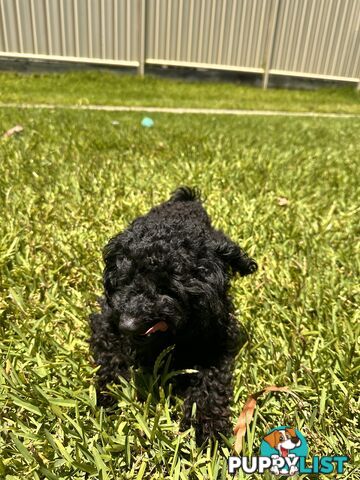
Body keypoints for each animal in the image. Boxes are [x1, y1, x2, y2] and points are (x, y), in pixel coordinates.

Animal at [91, 187, 258, 442]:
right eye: (125, 279)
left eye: (168, 288)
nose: (128, 326)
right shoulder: (106, 320)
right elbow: (110, 356)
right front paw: (108, 394)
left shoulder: (216, 342)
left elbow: (210, 383)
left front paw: (207, 426)